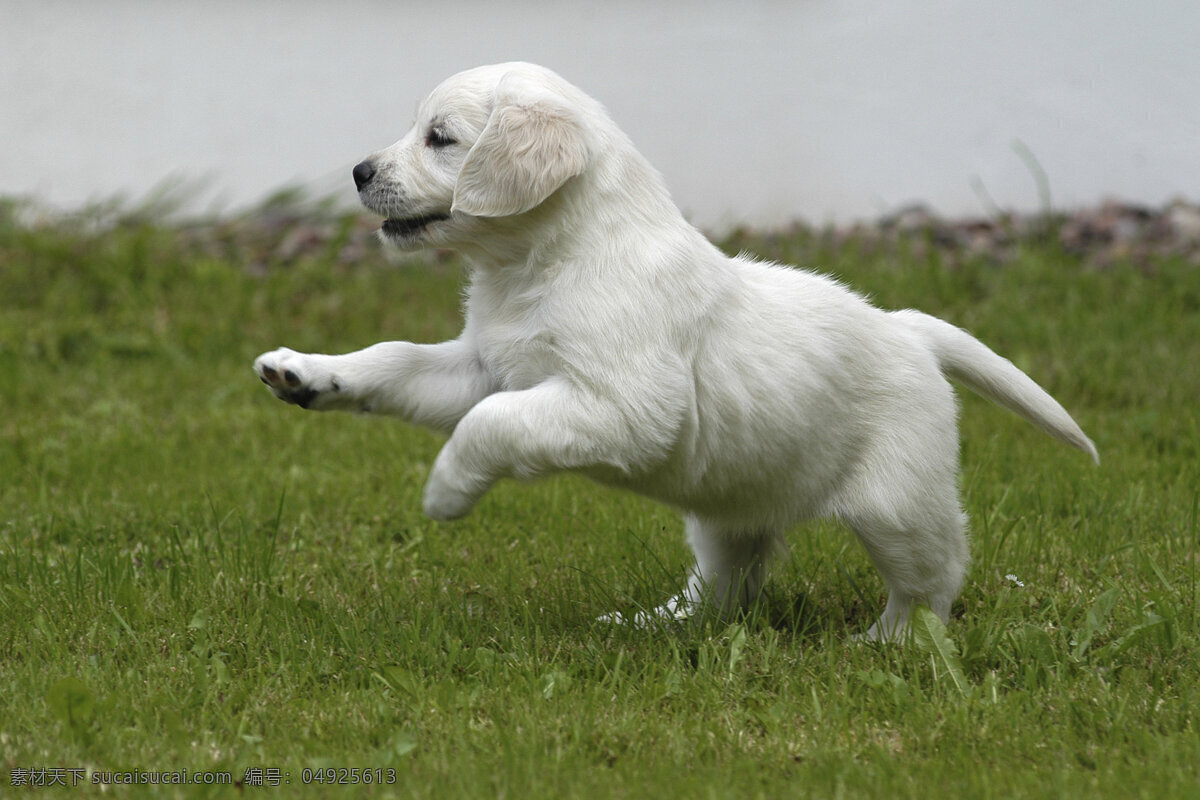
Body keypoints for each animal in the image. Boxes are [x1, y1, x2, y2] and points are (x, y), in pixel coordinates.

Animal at [253, 61, 1099, 638]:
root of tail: (906, 326)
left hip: (897, 503)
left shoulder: (624, 405)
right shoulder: (484, 367)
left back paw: (892, 643)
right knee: (728, 586)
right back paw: (654, 625)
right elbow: (396, 359)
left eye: (440, 138)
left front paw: (445, 492)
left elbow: (488, 424)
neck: (545, 262)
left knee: (934, 578)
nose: (359, 172)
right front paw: (308, 373)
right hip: (730, 507)